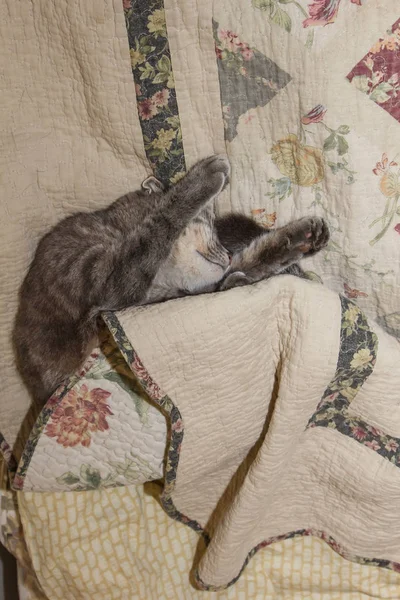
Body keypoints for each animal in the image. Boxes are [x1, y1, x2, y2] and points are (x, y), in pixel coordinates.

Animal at [14, 155, 330, 408]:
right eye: (209, 223)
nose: (228, 254)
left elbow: (255, 258)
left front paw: (301, 237)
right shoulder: (100, 276)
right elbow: (159, 224)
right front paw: (203, 178)